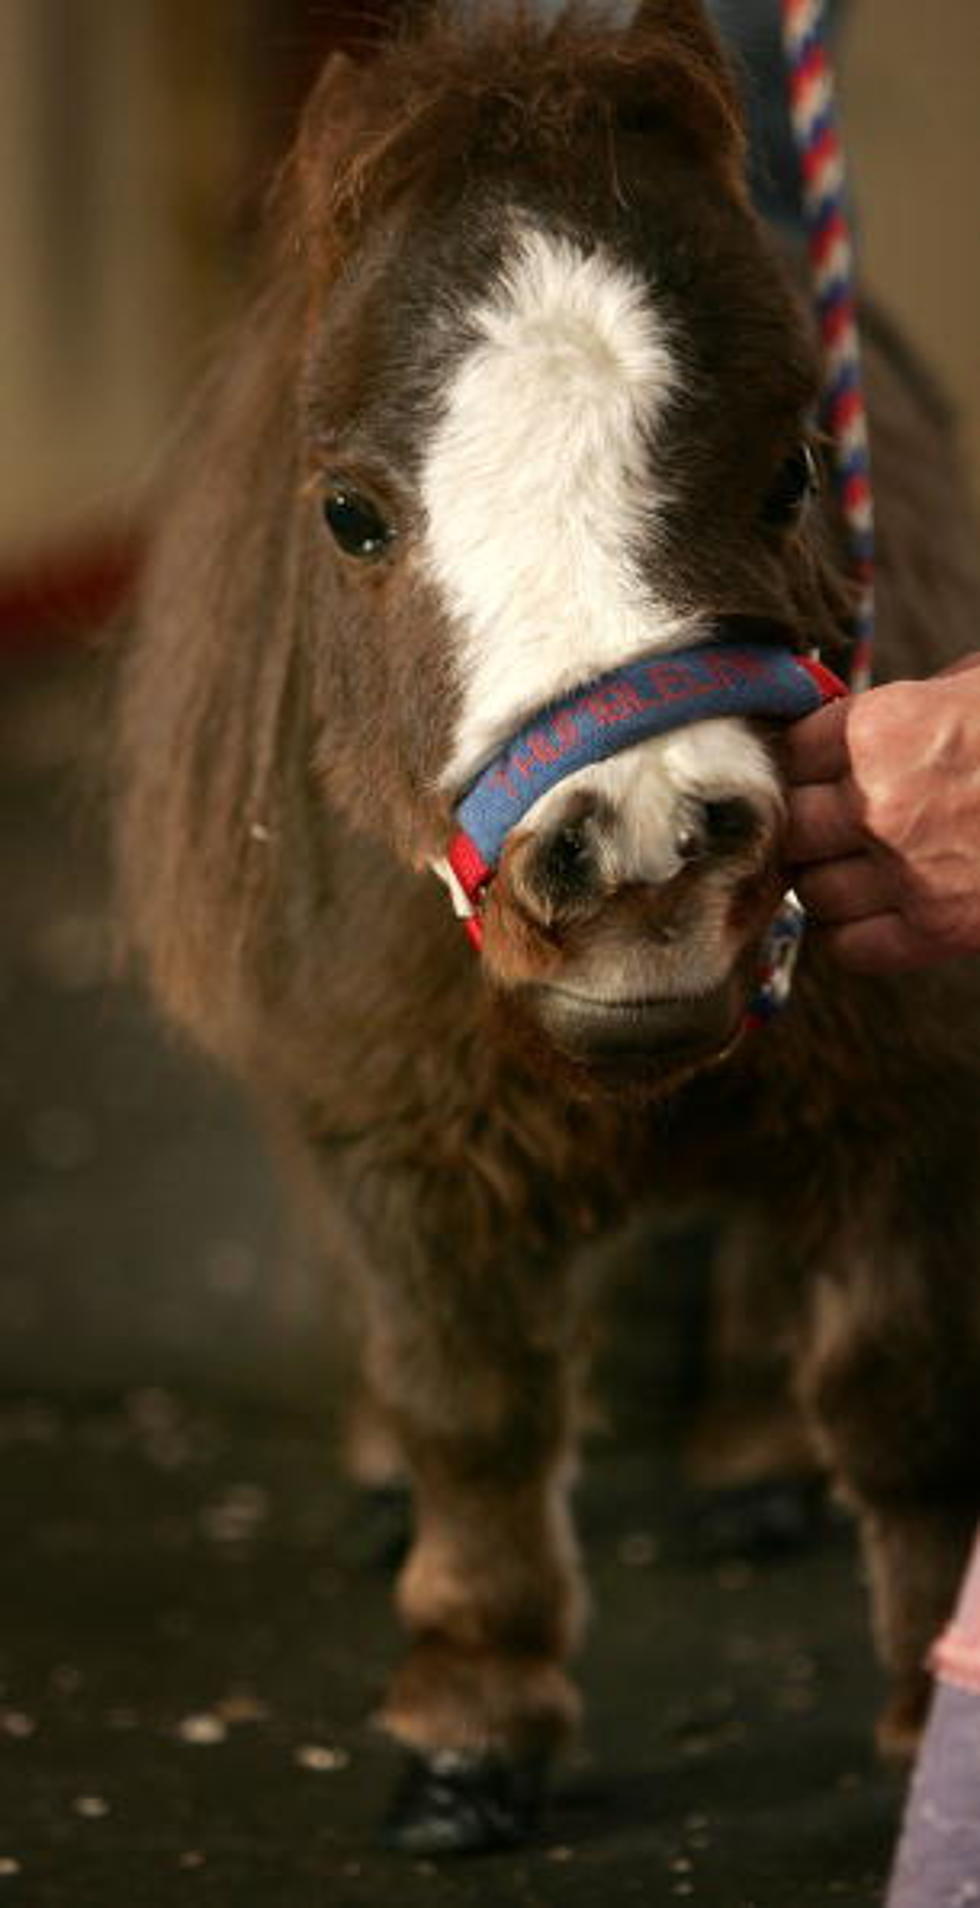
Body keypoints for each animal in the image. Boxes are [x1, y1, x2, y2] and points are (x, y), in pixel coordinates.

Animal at [116, 0, 976, 1846]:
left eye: (796, 469)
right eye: (350, 510)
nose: (641, 852)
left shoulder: (906, 1092)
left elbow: (905, 1401)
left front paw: (923, 1727)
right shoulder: (385, 1124)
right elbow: (475, 1409)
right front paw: (470, 1723)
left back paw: (750, 1456)